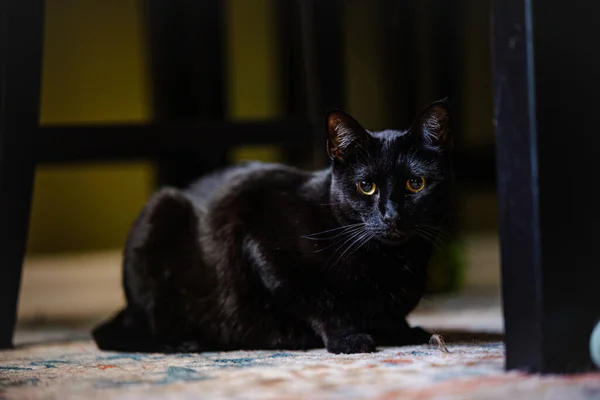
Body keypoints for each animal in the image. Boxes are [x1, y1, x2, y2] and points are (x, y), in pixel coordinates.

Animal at [91, 99, 452, 354]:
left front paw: (404, 331)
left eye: (416, 184)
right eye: (366, 186)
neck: (390, 262)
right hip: (160, 213)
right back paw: (183, 343)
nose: (391, 215)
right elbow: (320, 301)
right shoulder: (262, 240)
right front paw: (348, 339)